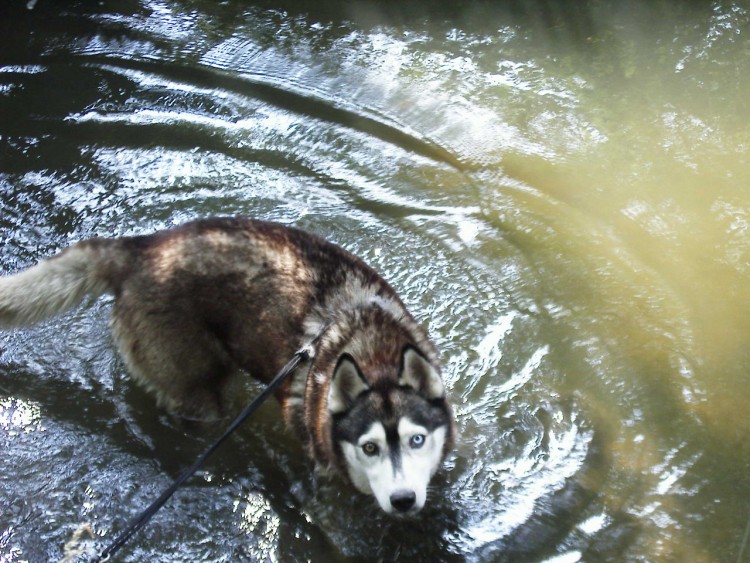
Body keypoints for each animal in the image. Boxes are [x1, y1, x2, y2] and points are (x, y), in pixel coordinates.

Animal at [0, 217, 456, 516]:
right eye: (369, 448)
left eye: (417, 440)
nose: (403, 500)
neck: (375, 355)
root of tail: (140, 247)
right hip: (199, 392)